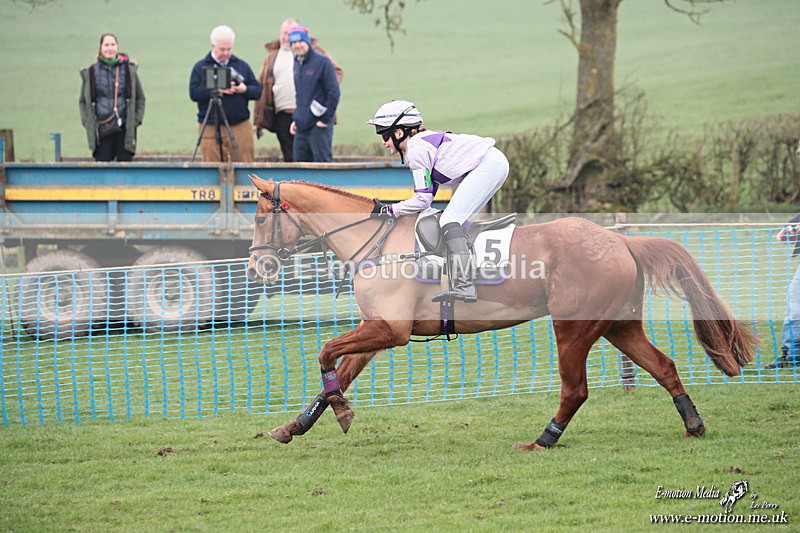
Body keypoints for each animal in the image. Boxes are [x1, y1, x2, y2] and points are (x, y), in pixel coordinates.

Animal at [246, 175, 757, 450]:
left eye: (259, 216)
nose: (256, 267)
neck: (377, 244)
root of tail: (621, 241)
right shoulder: (378, 330)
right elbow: (337, 370)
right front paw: (297, 425)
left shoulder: (389, 330)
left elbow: (325, 354)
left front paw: (342, 413)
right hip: (618, 326)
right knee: (664, 366)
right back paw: (693, 425)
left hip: (573, 328)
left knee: (576, 389)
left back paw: (544, 439)